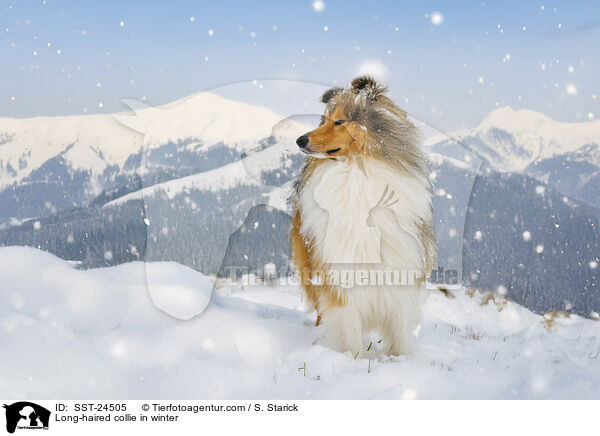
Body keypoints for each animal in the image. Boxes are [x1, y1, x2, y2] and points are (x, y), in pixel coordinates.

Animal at [288, 76, 434, 356]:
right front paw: (352, 357)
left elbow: (399, 324)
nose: (300, 140)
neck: (355, 170)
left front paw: (401, 358)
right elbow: (347, 321)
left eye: (339, 121)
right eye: (323, 119)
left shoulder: (400, 265)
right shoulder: (339, 271)